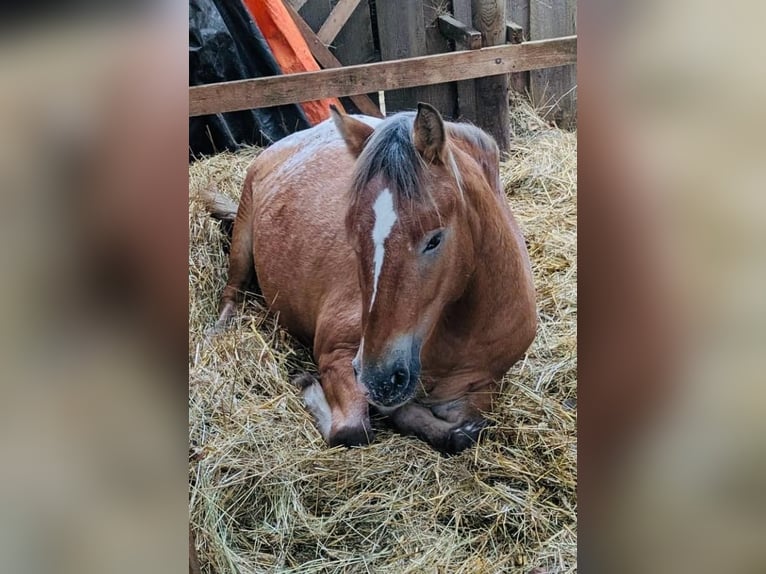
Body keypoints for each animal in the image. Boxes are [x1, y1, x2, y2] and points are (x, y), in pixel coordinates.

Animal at [206, 103, 536, 454]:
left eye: (434, 239)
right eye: (352, 235)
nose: (378, 376)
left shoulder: (480, 388)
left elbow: (460, 430)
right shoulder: (337, 354)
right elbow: (352, 430)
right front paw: (308, 384)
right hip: (242, 238)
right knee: (232, 293)